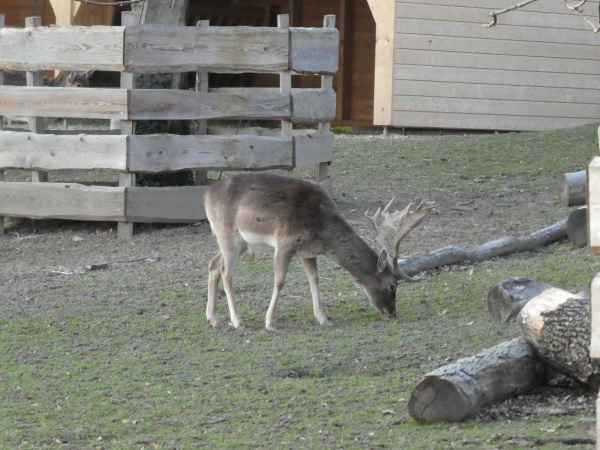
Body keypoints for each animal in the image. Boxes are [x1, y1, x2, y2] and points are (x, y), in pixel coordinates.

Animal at [205, 172, 432, 330]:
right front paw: (269, 322)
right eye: (392, 285)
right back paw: (237, 321)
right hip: (227, 234)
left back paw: (213, 319)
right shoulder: (284, 243)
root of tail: (206, 195)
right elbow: (279, 281)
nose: (392, 313)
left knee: (213, 264)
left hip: (239, 242)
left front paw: (323, 318)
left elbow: (314, 279)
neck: (321, 229)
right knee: (226, 272)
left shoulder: (308, 252)